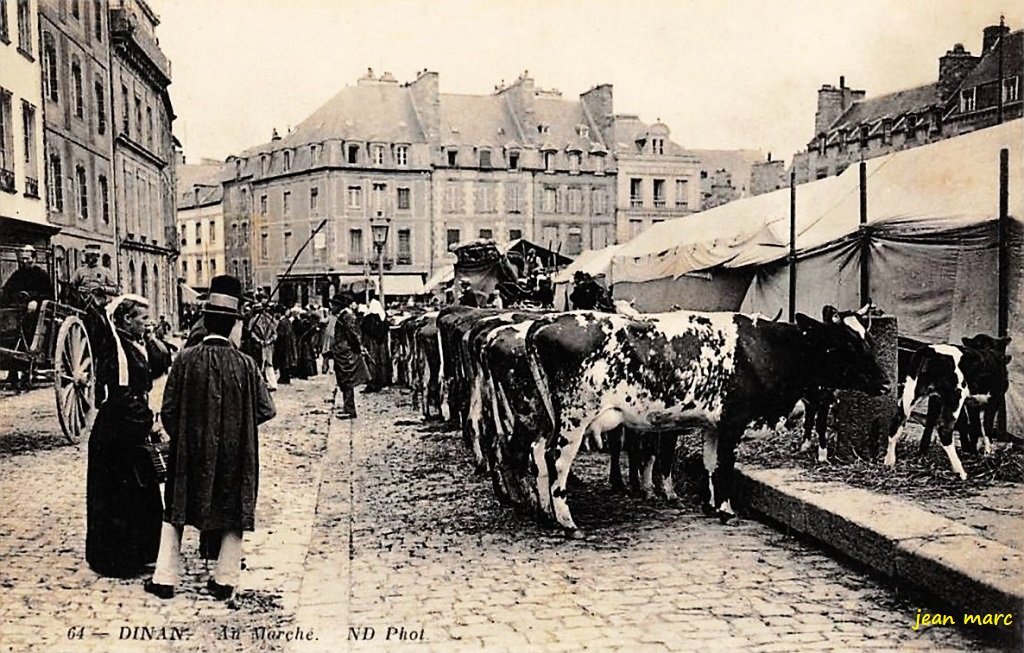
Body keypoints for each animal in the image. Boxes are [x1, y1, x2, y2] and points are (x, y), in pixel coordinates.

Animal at [520, 309, 888, 536]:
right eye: (846, 344)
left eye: (868, 339)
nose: (886, 384)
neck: (766, 348)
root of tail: (547, 322)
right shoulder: (733, 421)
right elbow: (724, 466)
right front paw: (726, 509)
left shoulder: (713, 424)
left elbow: (710, 464)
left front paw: (712, 506)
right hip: (574, 416)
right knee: (557, 460)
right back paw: (567, 522)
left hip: (549, 416)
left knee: (537, 453)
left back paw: (545, 512)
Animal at [884, 335, 1011, 479]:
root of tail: (930, 349)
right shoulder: (995, 400)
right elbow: (986, 427)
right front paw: (988, 454)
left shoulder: (972, 403)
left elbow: (975, 427)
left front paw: (974, 452)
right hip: (955, 395)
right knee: (944, 430)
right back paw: (961, 472)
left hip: (913, 392)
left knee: (898, 421)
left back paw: (889, 463)